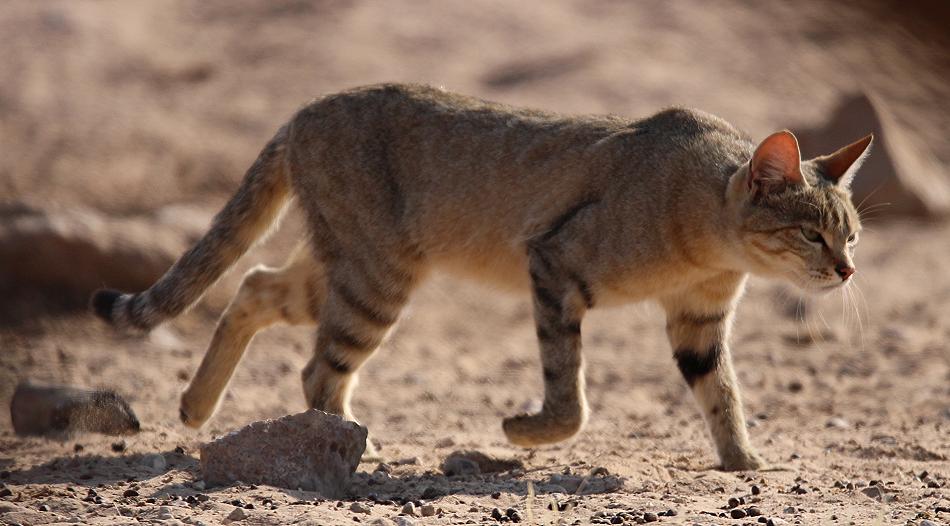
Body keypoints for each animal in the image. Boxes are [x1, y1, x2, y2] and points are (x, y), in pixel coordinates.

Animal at [93, 84, 872, 472]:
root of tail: (302, 112)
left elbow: (723, 392)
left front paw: (744, 462)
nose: (847, 269)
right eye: (812, 232)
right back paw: (346, 443)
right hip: (377, 278)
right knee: (317, 366)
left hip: (347, 267)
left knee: (254, 285)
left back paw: (196, 407)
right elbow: (570, 394)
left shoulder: (699, 321)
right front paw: (523, 431)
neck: (711, 240)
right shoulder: (555, 262)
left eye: (852, 232)